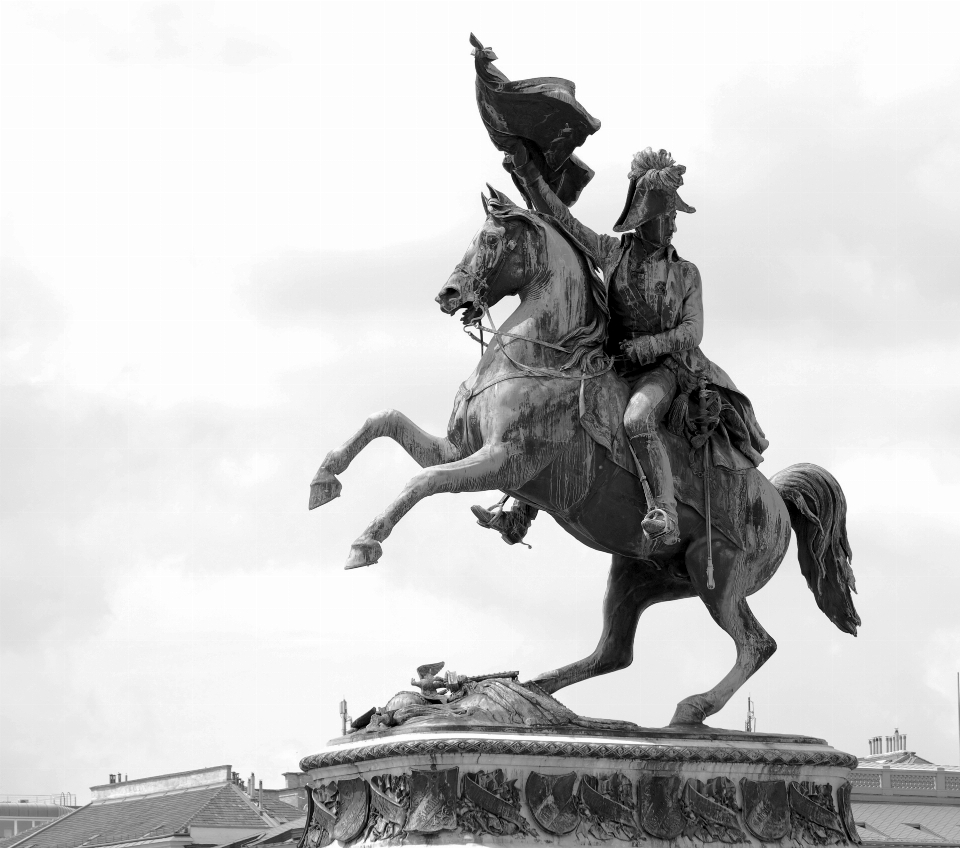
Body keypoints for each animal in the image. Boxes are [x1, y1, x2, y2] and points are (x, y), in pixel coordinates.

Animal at [312, 189, 860, 724]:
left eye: (490, 239)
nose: (447, 295)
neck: (543, 359)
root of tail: (777, 497)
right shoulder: (460, 447)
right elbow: (384, 420)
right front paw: (324, 479)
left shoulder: (505, 459)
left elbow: (420, 482)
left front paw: (364, 544)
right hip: (637, 575)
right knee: (614, 652)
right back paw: (535, 690)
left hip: (718, 575)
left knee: (756, 644)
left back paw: (690, 708)